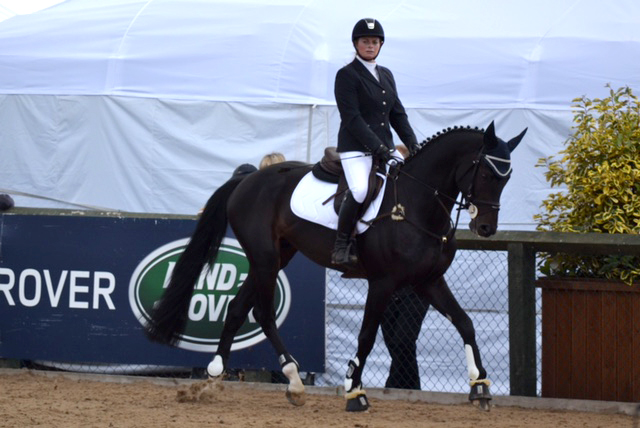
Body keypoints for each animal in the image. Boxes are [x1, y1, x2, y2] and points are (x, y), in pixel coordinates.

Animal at [145, 120, 524, 412]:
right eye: (486, 173)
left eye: (507, 178)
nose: (485, 228)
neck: (415, 205)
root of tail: (249, 179)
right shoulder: (383, 283)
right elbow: (367, 336)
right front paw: (355, 392)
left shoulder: (428, 281)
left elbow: (465, 323)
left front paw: (480, 386)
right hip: (266, 259)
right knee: (262, 313)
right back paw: (292, 379)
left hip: (276, 257)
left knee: (239, 308)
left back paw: (214, 375)